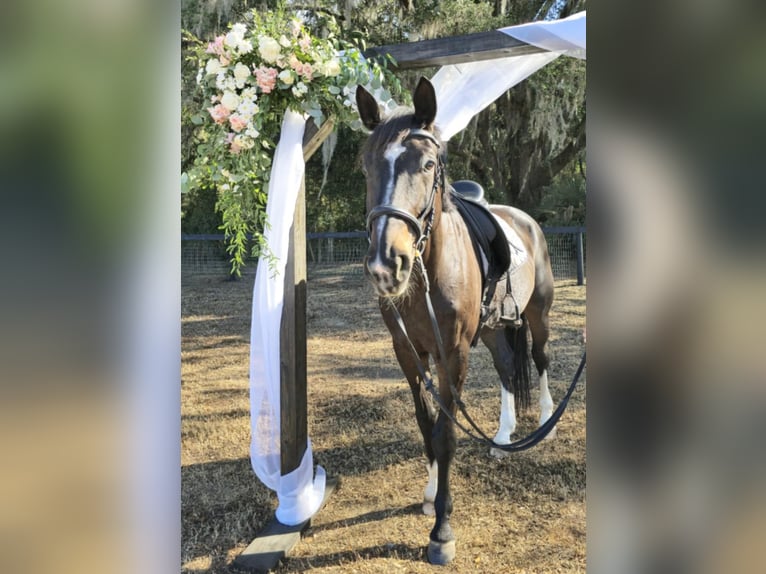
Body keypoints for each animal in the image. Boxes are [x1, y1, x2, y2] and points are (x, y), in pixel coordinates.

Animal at [355, 77, 555, 565]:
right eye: (366, 167)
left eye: (428, 164)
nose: (386, 265)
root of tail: (526, 220)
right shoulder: (409, 353)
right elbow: (426, 423)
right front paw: (430, 494)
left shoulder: (453, 354)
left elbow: (446, 432)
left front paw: (442, 530)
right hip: (493, 329)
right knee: (507, 367)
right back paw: (502, 437)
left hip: (537, 315)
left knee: (541, 359)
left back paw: (545, 422)